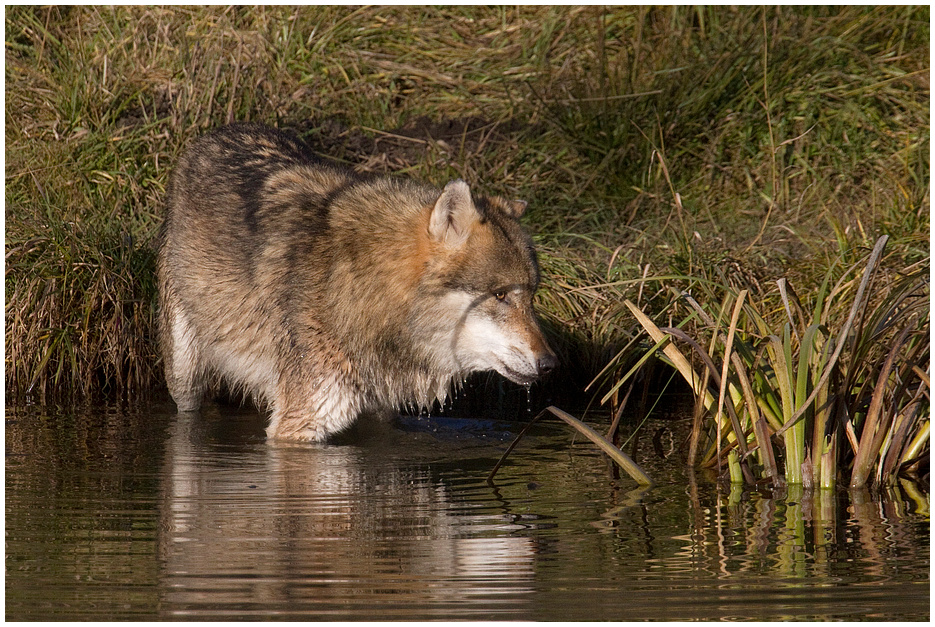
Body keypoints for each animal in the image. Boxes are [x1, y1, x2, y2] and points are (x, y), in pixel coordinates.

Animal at [157, 124, 560, 442]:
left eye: (532, 297)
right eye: (500, 295)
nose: (550, 365)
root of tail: (217, 133)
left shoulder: (382, 415)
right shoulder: (298, 427)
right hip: (184, 376)